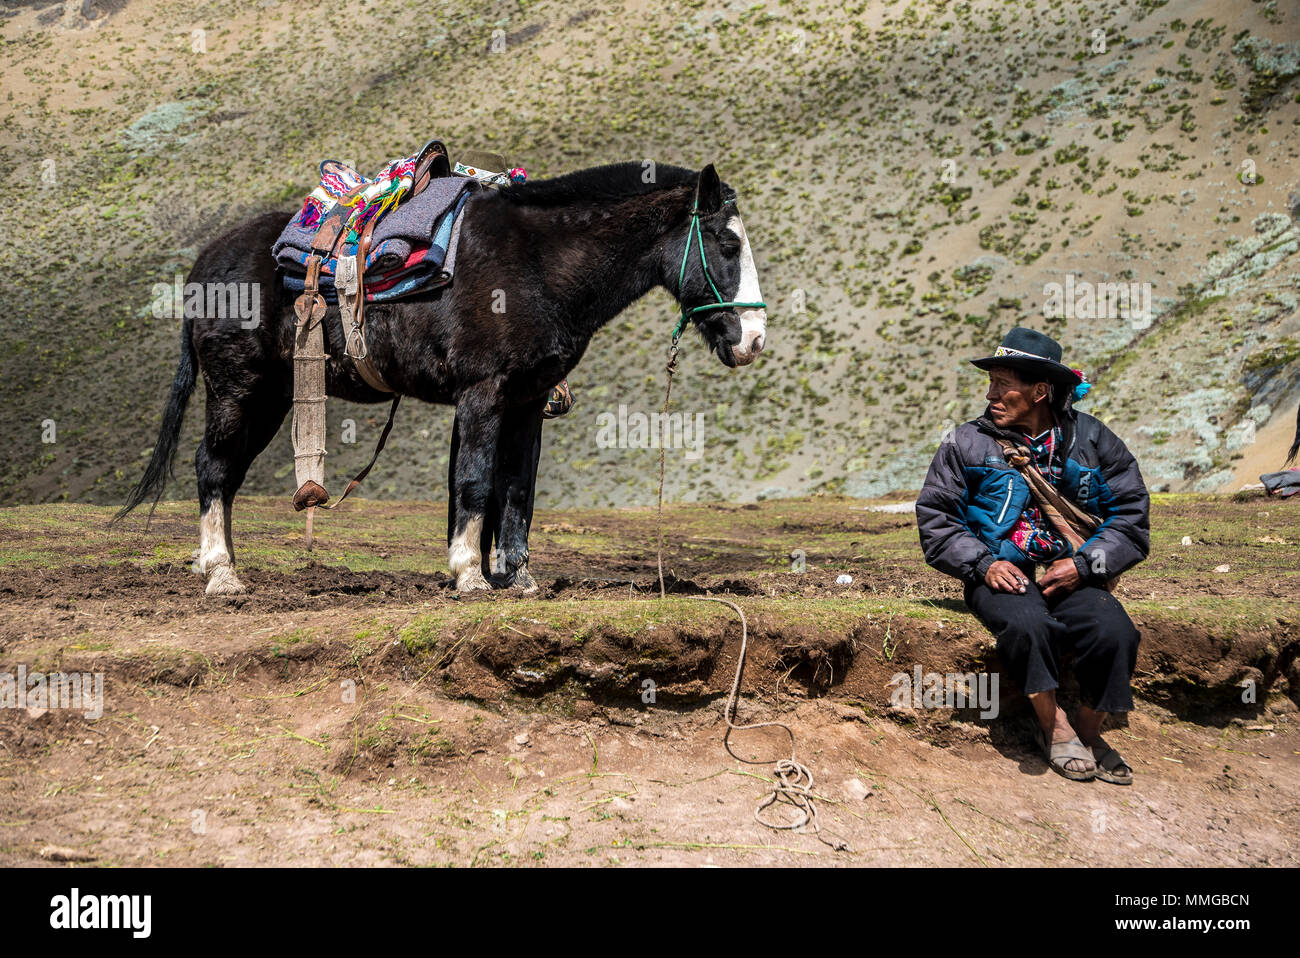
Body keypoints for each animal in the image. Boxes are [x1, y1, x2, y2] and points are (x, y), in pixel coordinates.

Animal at [116, 161, 764, 595]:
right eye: (726, 243)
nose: (753, 341)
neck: (539, 263)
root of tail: (202, 266)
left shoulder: (526, 401)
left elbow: (517, 490)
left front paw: (519, 578)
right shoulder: (483, 392)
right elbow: (474, 482)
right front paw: (470, 575)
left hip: (271, 397)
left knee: (225, 472)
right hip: (237, 388)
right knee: (214, 467)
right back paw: (222, 574)